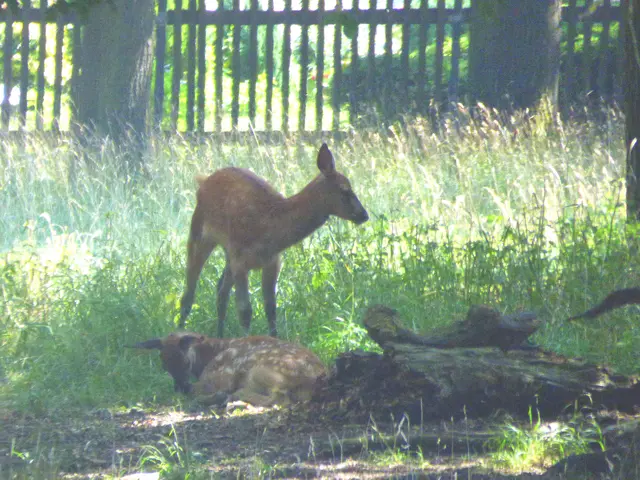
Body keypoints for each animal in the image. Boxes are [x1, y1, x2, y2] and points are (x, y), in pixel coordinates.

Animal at [131, 331, 327, 407]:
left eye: (186, 363)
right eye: (163, 365)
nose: (180, 387)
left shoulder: (223, 375)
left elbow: (197, 391)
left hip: (261, 369)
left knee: (279, 398)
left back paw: (233, 397)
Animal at [178, 143, 369, 337]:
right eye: (345, 189)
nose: (364, 215)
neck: (270, 228)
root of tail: (203, 181)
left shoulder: (272, 261)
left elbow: (271, 309)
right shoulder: (240, 260)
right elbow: (245, 310)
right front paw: (247, 340)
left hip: (227, 253)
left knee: (221, 290)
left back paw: (219, 336)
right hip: (199, 233)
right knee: (188, 294)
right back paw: (179, 331)